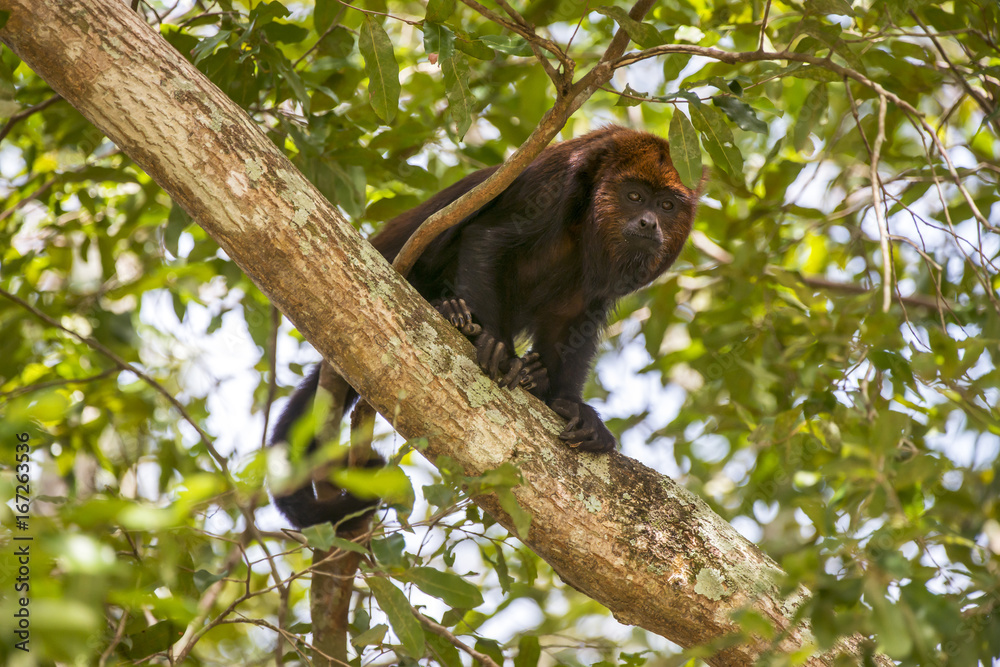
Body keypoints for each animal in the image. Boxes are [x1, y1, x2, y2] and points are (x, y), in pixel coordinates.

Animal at [270, 125, 700, 528]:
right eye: (634, 196)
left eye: (667, 205)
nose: (649, 223)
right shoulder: (555, 185)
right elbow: (487, 238)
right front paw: (496, 347)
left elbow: (574, 318)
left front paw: (570, 406)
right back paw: (454, 315)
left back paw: (535, 376)